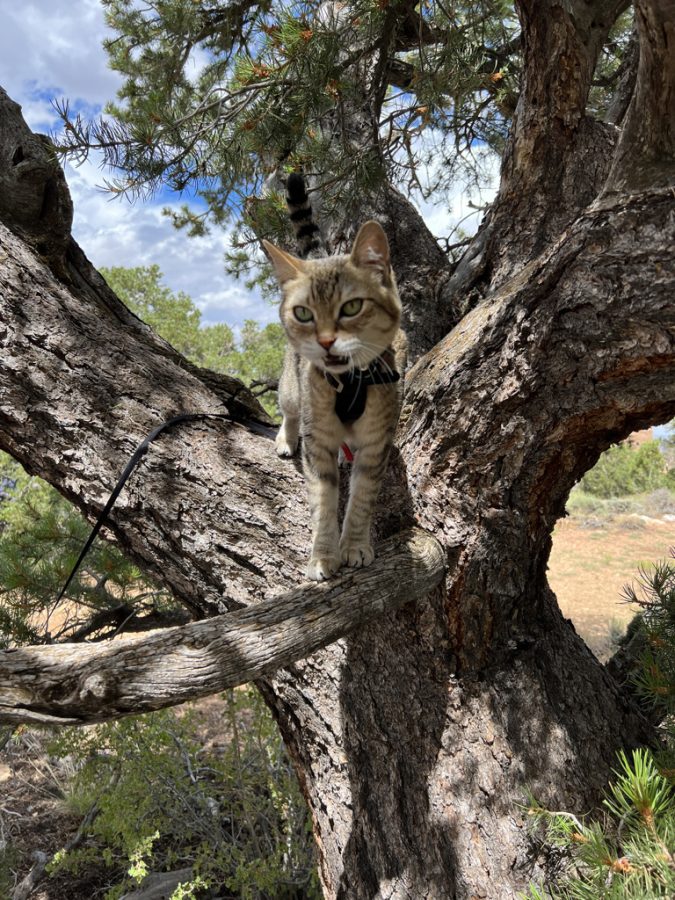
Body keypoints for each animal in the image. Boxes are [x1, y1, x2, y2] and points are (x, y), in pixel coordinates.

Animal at [264, 174, 406, 584]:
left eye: (352, 307)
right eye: (303, 313)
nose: (326, 341)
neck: (351, 383)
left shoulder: (375, 444)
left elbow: (360, 500)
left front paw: (354, 546)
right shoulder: (319, 444)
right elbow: (324, 503)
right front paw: (323, 555)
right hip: (292, 388)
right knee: (289, 410)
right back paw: (286, 438)